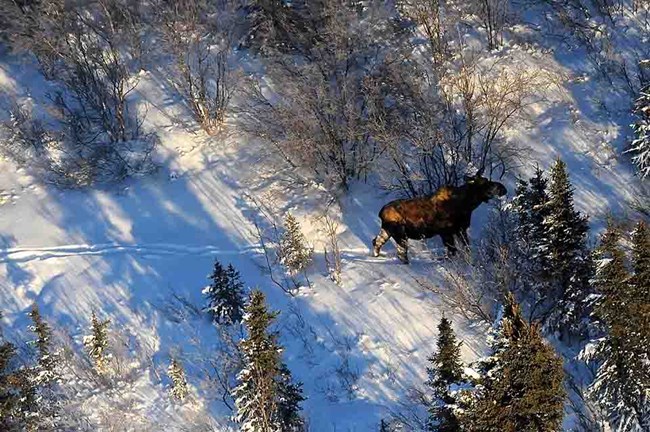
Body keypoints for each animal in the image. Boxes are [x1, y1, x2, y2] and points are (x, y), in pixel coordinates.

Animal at [370, 172, 506, 264]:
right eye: (485, 183)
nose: (502, 188)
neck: (467, 205)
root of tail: (380, 212)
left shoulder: (460, 230)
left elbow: (465, 248)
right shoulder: (446, 232)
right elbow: (452, 251)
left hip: (387, 230)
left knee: (376, 241)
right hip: (400, 233)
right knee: (401, 252)